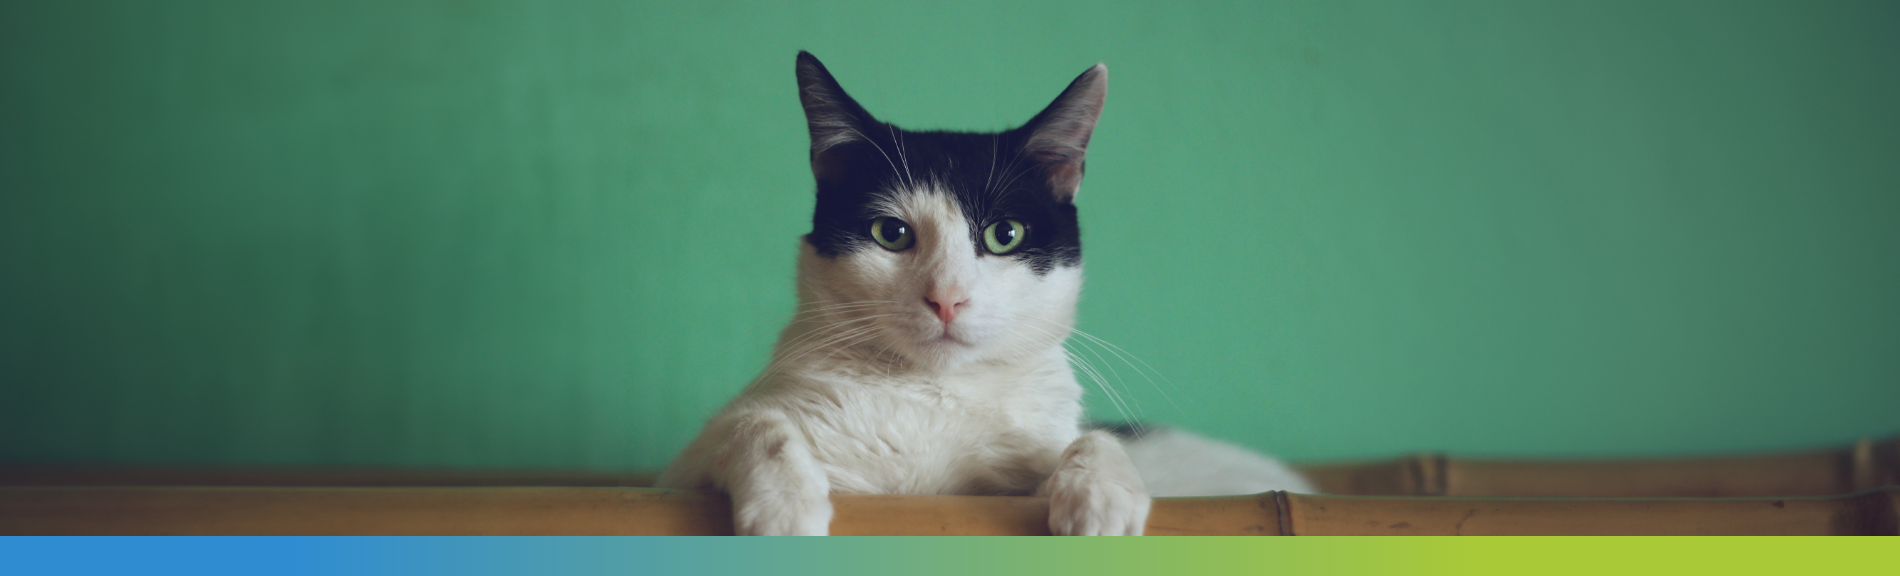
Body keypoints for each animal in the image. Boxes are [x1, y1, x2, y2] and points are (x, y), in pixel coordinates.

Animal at [653, 52, 1307, 536]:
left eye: (1004, 235)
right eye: (890, 234)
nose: (947, 298)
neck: (931, 398)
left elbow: (1087, 440)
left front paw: (1100, 497)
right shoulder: (679, 473)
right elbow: (753, 425)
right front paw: (786, 505)